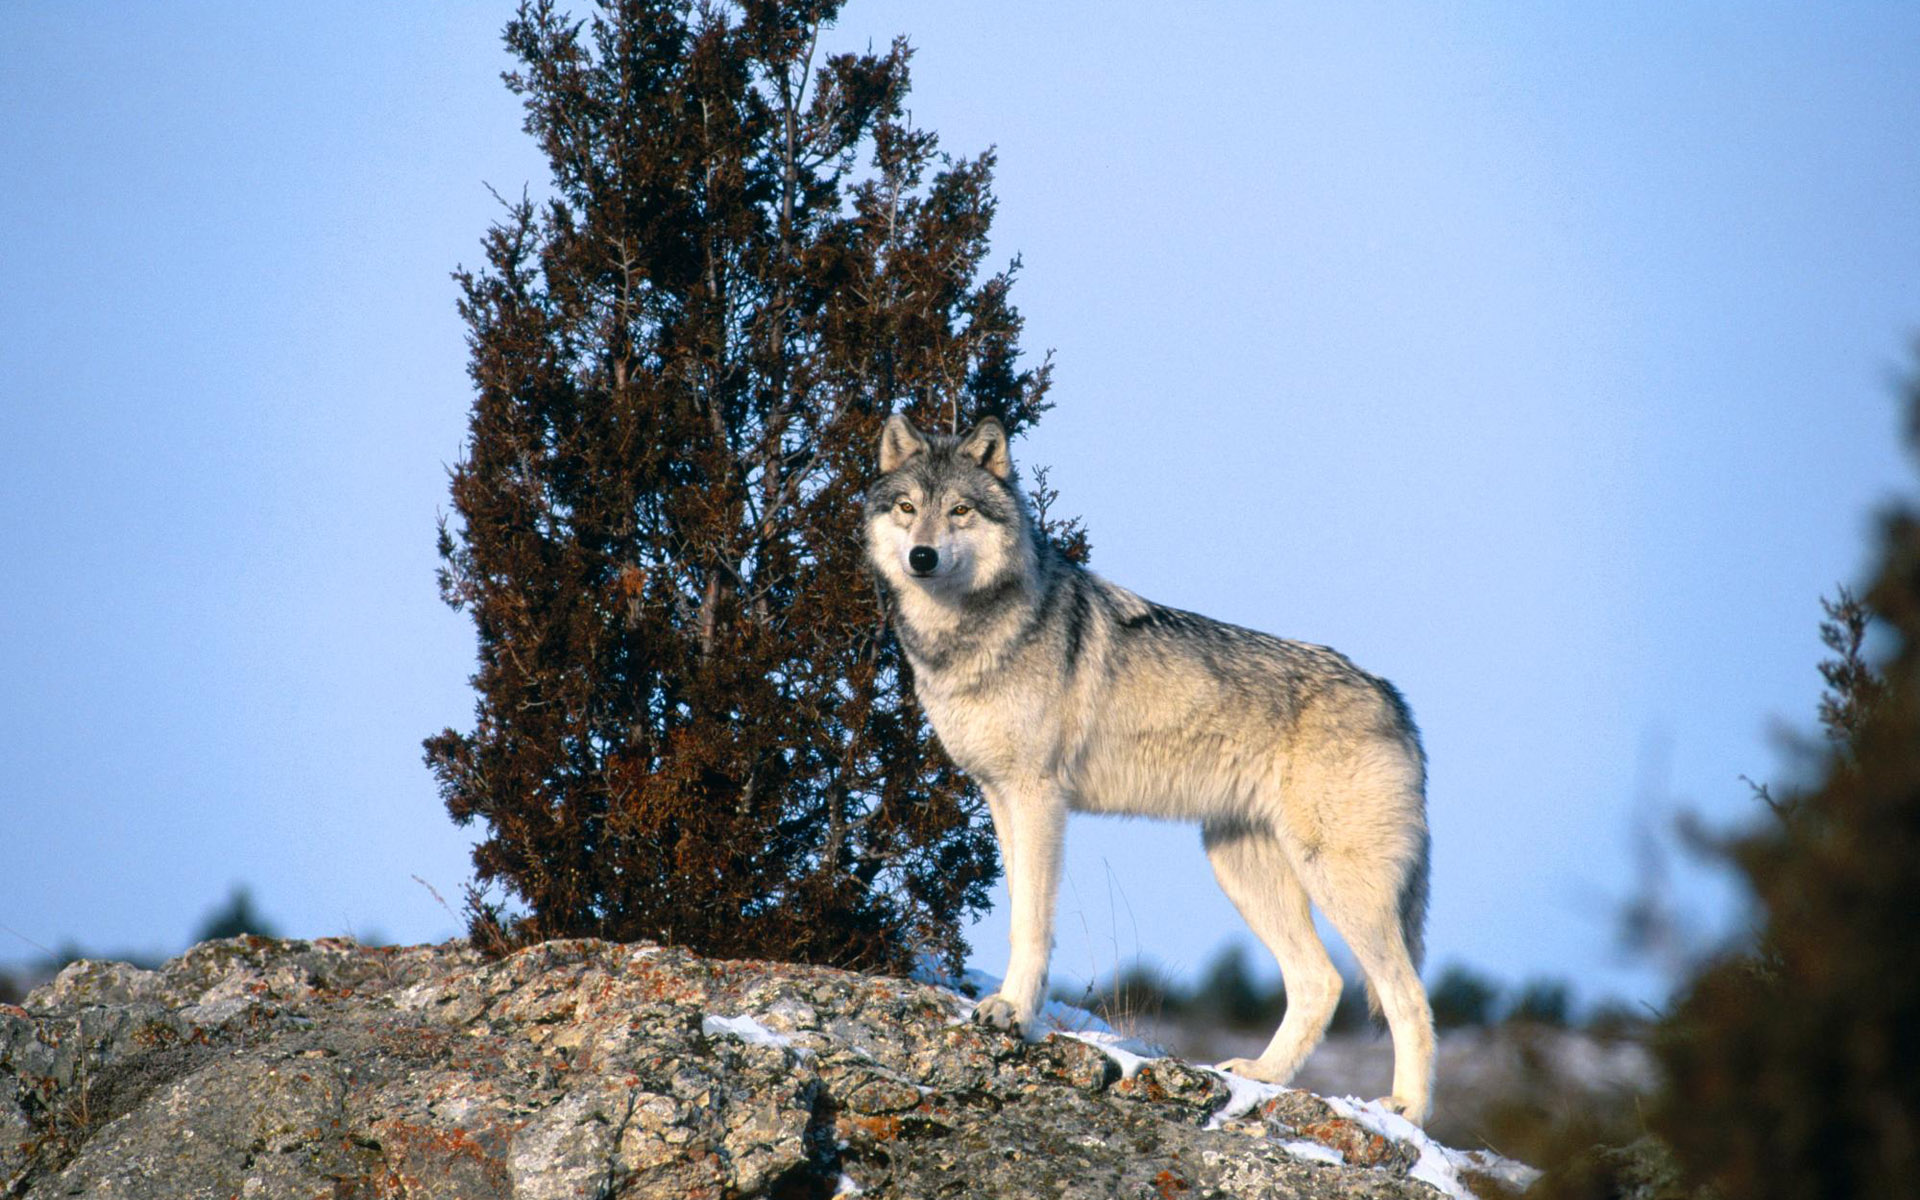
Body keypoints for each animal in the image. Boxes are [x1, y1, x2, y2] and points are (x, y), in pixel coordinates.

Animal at [864, 414, 1436, 1121]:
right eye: (908, 508)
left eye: (960, 511)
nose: (922, 557)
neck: (968, 635)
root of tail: (1394, 699)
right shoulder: (1000, 797)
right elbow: (1019, 913)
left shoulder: (1038, 798)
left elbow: (1032, 924)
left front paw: (1013, 1014)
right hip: (1240, 867)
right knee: (1320, 981)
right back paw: (1261, 1076)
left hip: (1337, 882)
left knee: (1409, 996)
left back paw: (1405, 1110)